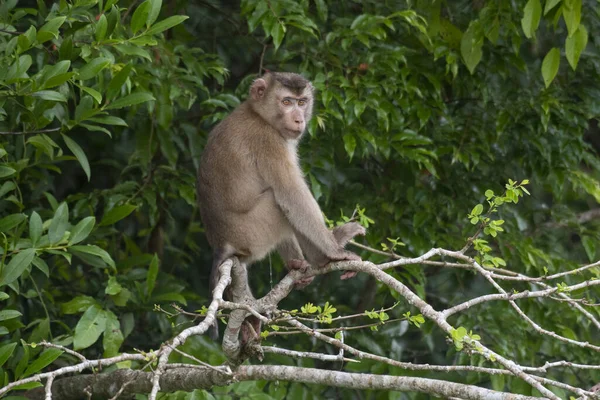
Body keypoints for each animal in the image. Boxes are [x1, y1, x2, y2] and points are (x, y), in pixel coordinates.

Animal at [198, 72, 366, 340]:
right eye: (286, 102)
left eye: (302, 102)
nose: (298, 118)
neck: (258, 114)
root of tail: (221, 244)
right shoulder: (269, 141)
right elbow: (292, 195)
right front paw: (334, 253)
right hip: (253, 232)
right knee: (278, 203)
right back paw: (323, 258)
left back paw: (298, 265)